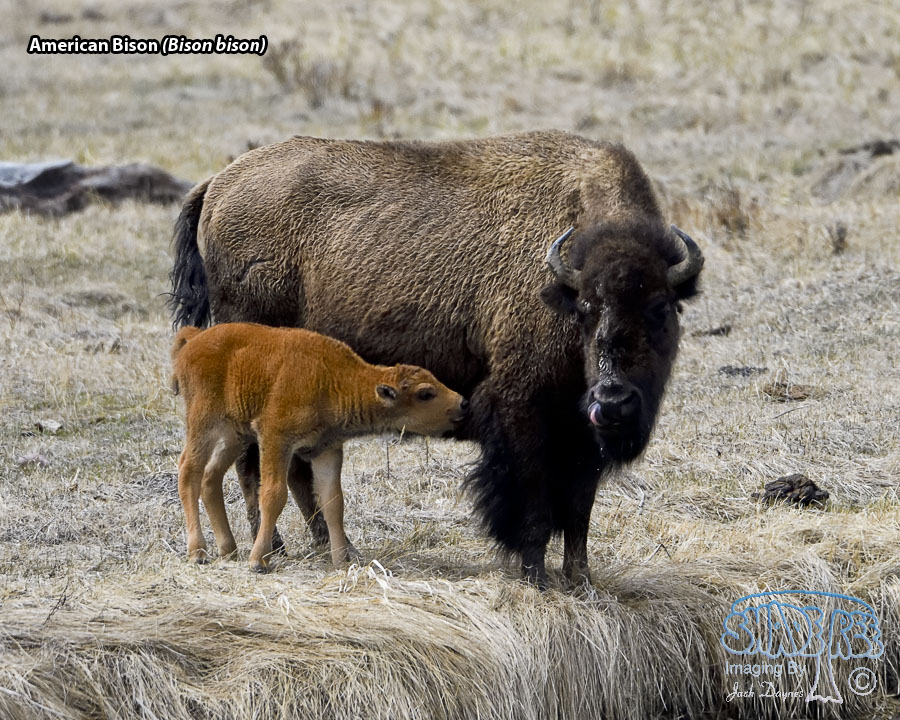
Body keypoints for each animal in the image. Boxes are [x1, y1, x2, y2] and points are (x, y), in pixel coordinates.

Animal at [168, 130, 704, 586]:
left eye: (662, 308)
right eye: (586, 309)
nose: (612, 401)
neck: (560, 284)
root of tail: (218, 184)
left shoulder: (580, 438)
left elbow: (578, 511)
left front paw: (580, 579)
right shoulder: (525, 417)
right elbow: (532, 504)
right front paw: (535, 576)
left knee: (294, 471)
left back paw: (325, 547)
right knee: (255, 466)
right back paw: (275, 549)